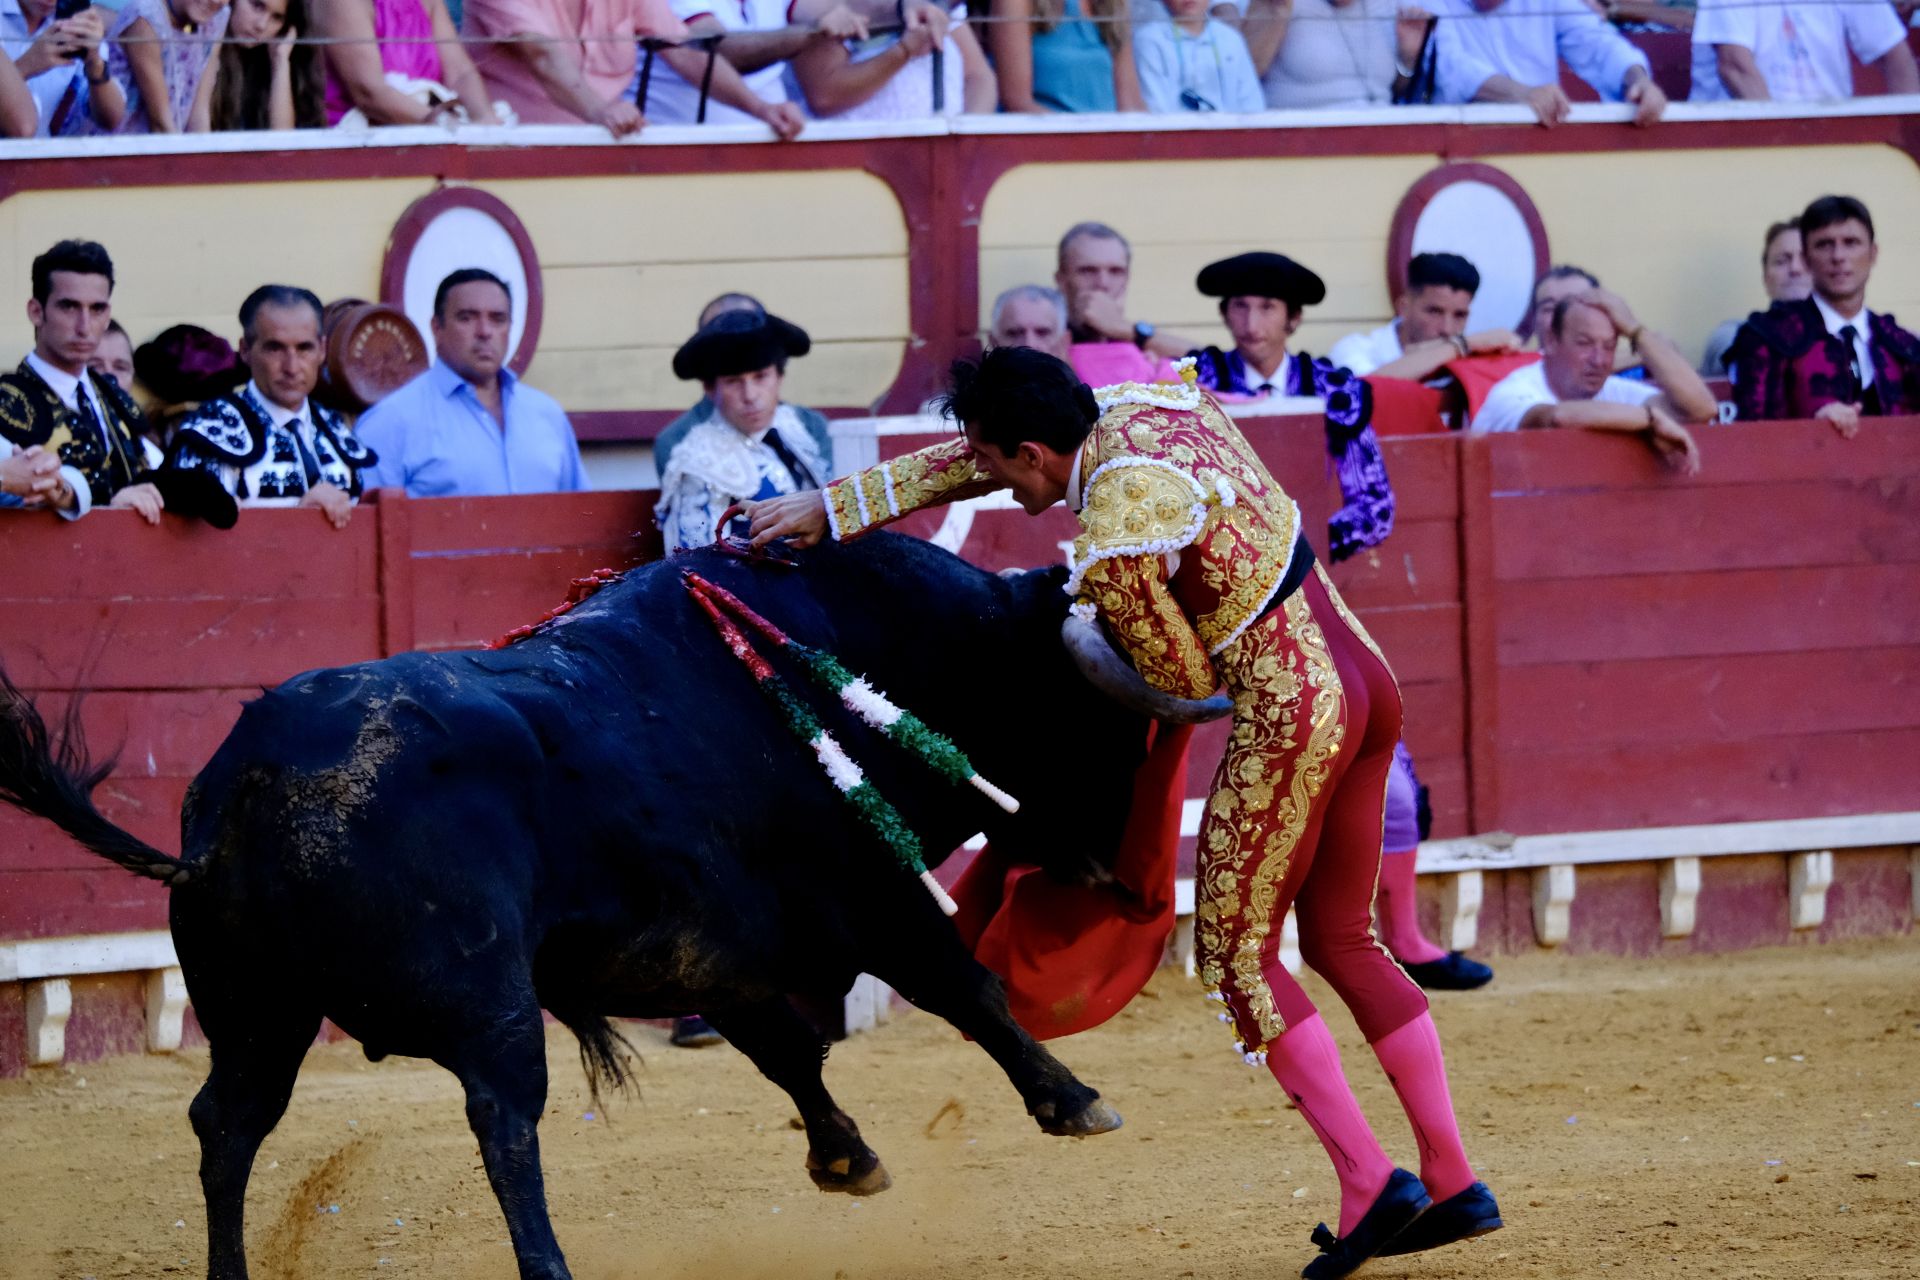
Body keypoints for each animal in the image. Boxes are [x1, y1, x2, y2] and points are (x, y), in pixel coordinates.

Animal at [0, 529, 1228, 1280]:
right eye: (1101, 720)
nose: (1119, 876)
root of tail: (241, 789)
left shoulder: (715, 949)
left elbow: (787, 1051)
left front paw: (845, 1158)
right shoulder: (869, 897)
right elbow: (964, 988)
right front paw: (1074, 1099)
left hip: (261, 1011)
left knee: (229, 1125)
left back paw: (233, 1272)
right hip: (487, 1003)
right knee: (504, 1123)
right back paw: (548, 1266)